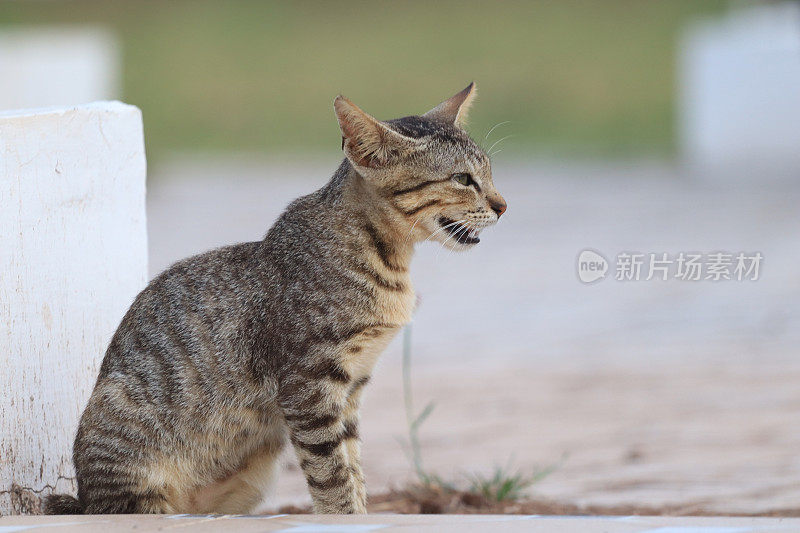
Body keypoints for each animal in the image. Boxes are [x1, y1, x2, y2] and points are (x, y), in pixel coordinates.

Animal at [43, 82, 506, 512]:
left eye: (489, 173)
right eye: (463, 179)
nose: (503, 205)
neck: (386, 258)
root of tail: (85, 499)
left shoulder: (352, 387)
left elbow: (353, 467)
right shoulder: (309, 384)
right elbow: (332, 474)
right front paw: (346, 515)